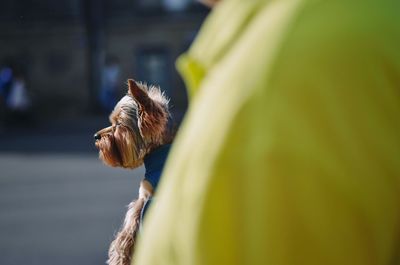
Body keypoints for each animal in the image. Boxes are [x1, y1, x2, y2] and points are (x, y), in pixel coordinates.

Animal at [95, 79, 175, 264]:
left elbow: (126, 239)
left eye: (119, 124)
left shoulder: (143, 201)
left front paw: (118, 258)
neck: (158, 153)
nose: (96, 137)